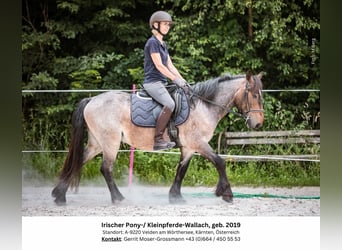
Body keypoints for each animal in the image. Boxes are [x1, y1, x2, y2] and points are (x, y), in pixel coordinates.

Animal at [51, 71, 264, 205]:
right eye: (253, 95)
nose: (258, 124)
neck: (203, 106)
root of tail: (91, 100)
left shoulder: (189, 147)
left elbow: (181, 170)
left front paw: (175, 197)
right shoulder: (198, 143)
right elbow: (220, 162)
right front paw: (226, 193)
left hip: (97, 143)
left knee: (79, 161)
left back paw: (59, 195)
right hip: (110, 143)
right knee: (106, 169)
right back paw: (118, 198)